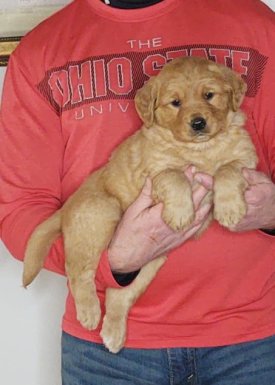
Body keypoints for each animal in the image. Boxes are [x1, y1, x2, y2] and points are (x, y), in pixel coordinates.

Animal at [23, 55, 258, 352]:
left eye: (209, 95)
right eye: (175, 102)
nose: (198, 123)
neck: (201, 149)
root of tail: (67, 206)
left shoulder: (246, 158)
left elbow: (228, 169)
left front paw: (229, 208)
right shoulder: (154, 172)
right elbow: (174, 175)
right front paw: (181, 212)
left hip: (152, 261)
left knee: (119, 294)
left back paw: (113, 332)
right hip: (102, 213)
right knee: (77, 271)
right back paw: (89, 312)